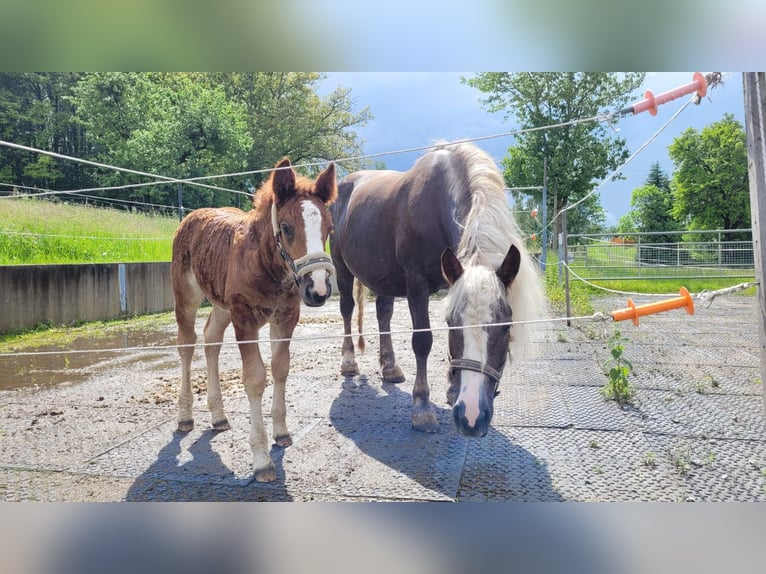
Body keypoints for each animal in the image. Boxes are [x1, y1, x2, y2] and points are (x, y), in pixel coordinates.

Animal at [172, 158, 338, 482]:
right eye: (286, 228)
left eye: (329, 227)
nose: (318, 289)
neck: (266, 265)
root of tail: (191, 216)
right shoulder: (245, 318)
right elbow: (255, 377)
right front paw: (262, 459)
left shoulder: (285, 317)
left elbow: (281, 368)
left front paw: (282, 433)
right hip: (186, 296)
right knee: (187, 344)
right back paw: (185, 416)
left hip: (222, 305)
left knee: (212, 338)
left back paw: (219, 416)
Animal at [330, 142, 544, 438]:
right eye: (453, 323)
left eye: (505, 327)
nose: (472, 417)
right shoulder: (416, 281)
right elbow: (423, 341)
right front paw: (422, 408)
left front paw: (452, 390)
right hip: (342, 268)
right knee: (347, 309)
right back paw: (349, 361)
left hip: (383, 274)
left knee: (383, 313)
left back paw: (390, 367)